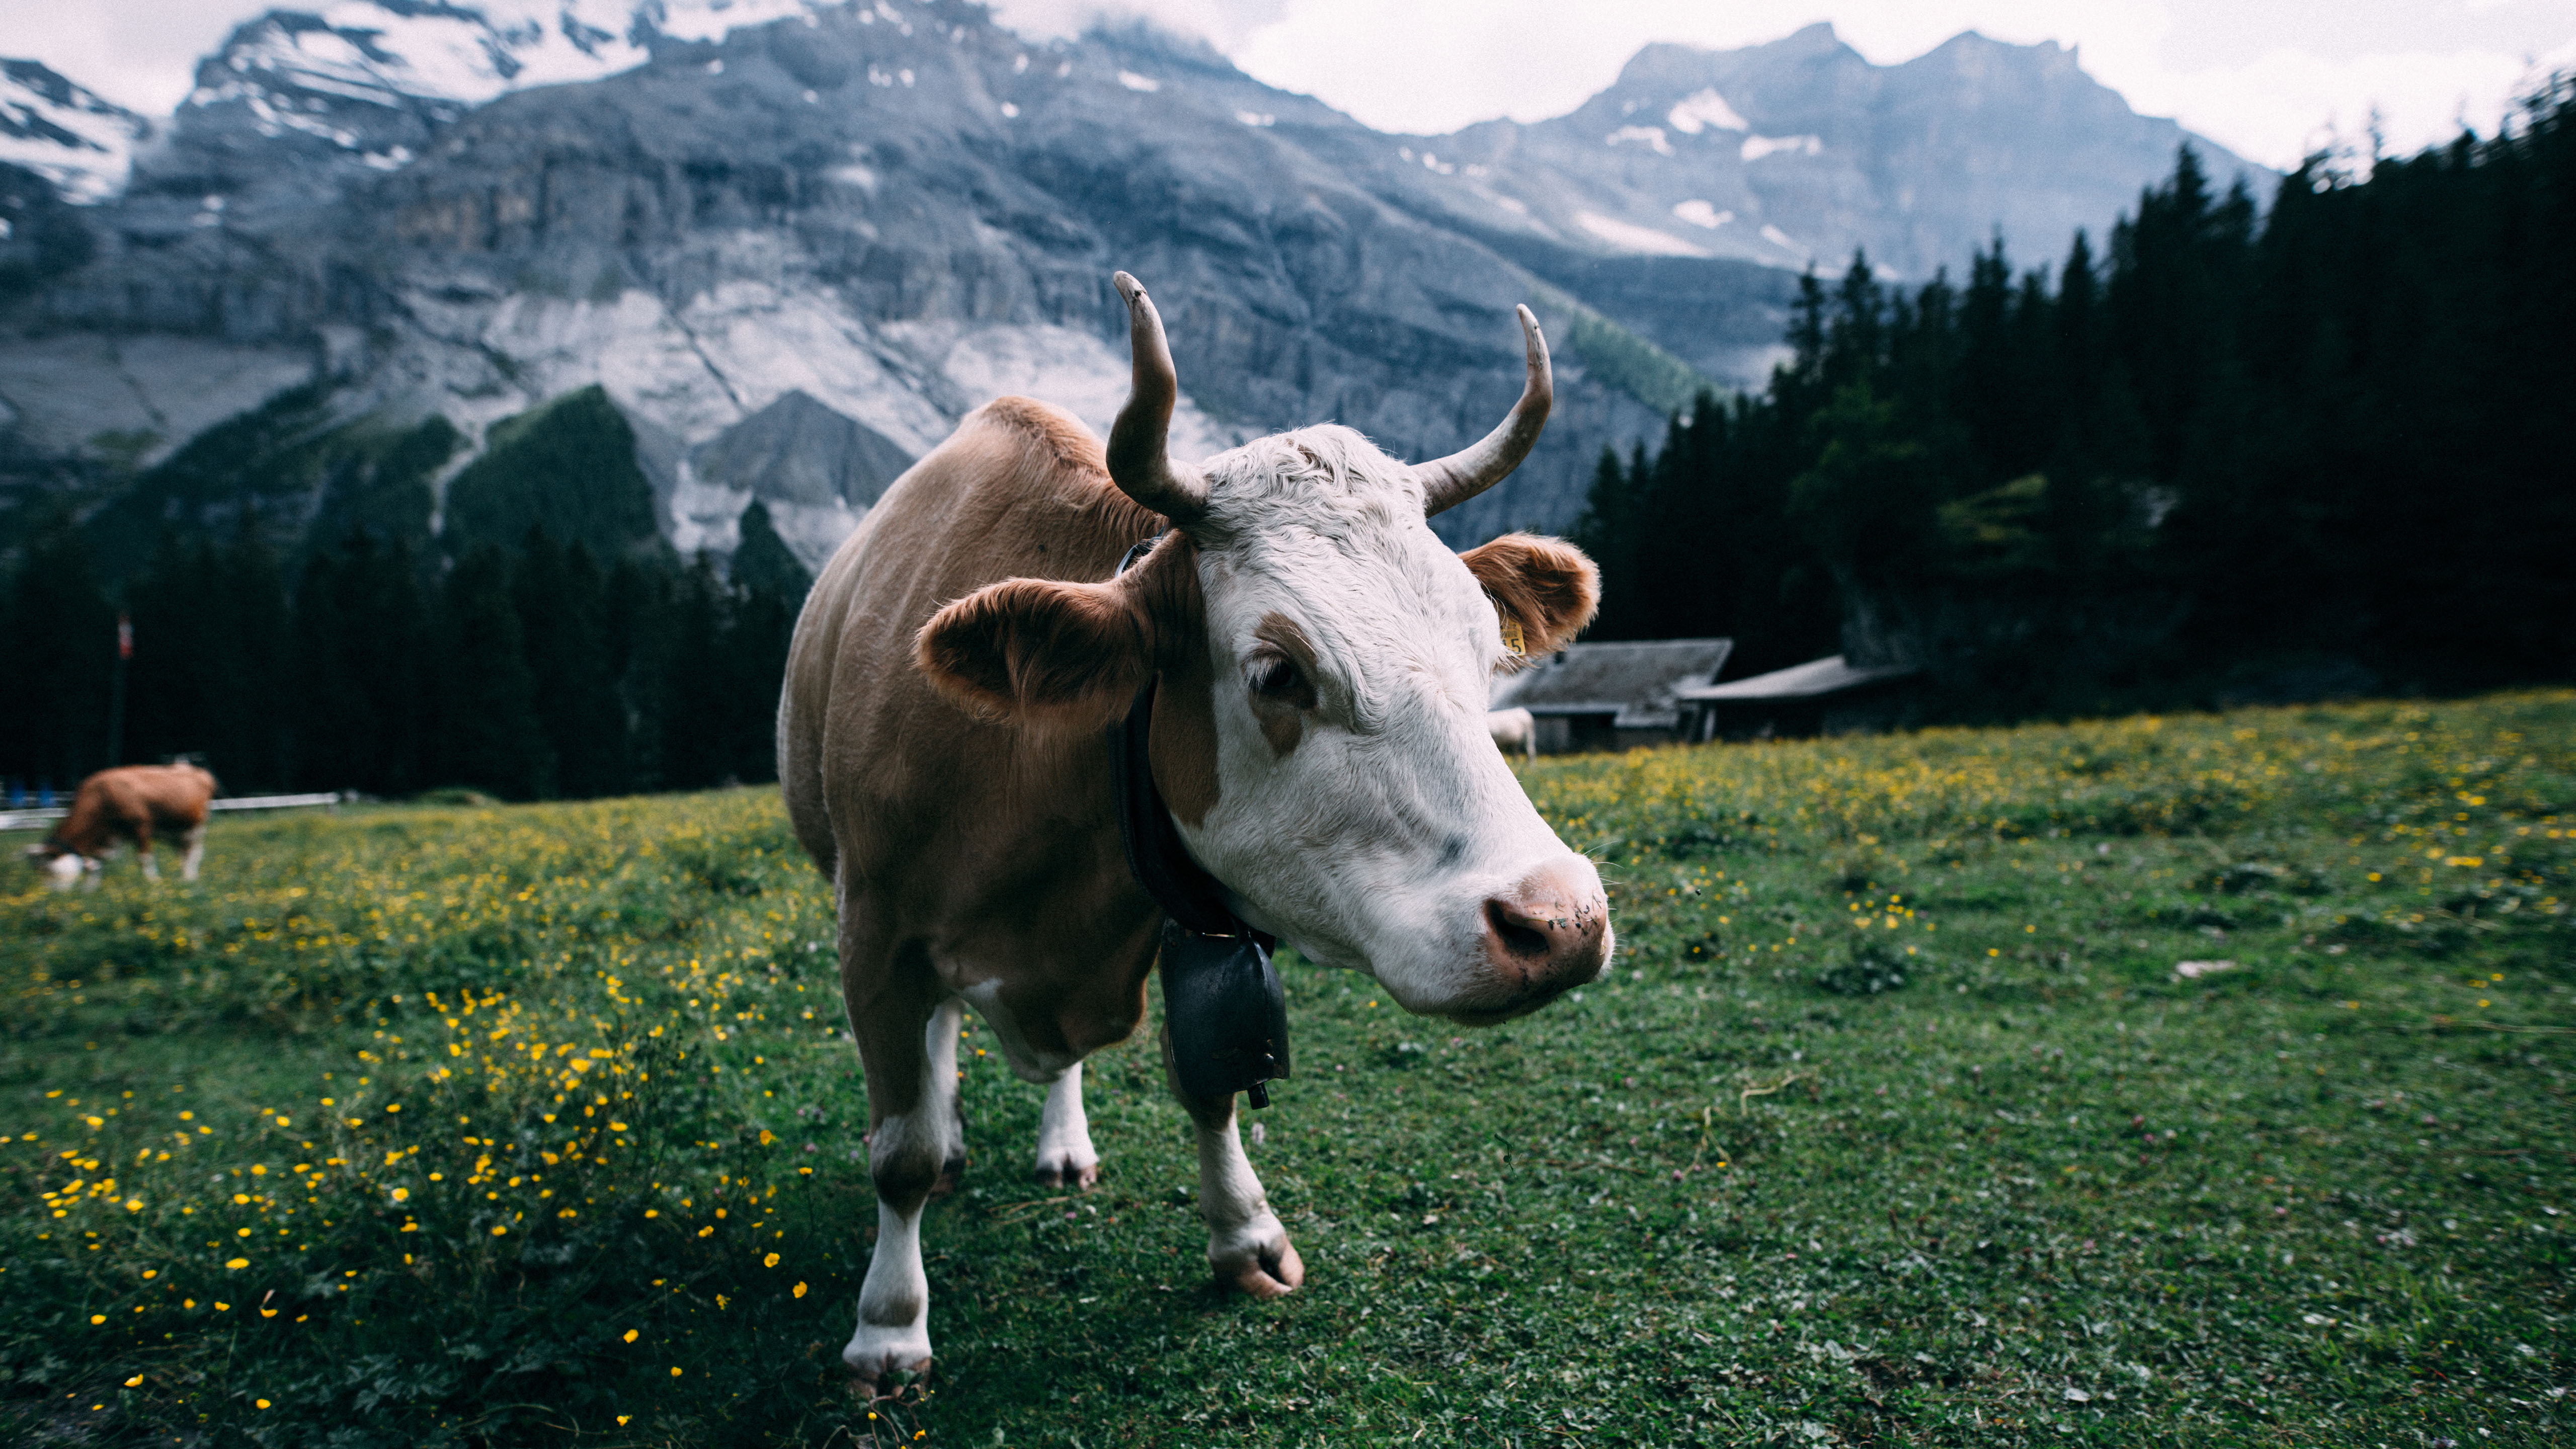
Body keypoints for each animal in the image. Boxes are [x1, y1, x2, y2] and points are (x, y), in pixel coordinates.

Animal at [22, 764, 218, 890]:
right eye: (38, 871)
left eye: (48, 870)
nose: (51, 897)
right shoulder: (106, 839)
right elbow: (95, 866)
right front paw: (89, 891)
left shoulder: (141, 827)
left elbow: (144, 858)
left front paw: (153, 883)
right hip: (178, 831)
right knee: (183, 855)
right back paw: (185, 878)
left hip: (197, 828)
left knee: (195, 854)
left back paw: (191, 879)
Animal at [779, 272, 1612, 1389]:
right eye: (1277, 672)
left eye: (1487, 647)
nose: (1560, 922)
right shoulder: (872, 935)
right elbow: (899, 1150)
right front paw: (888, 1326)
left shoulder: (1193, 917)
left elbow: (1210, 1079)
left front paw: (1245, 1236)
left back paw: (1063, 1142)